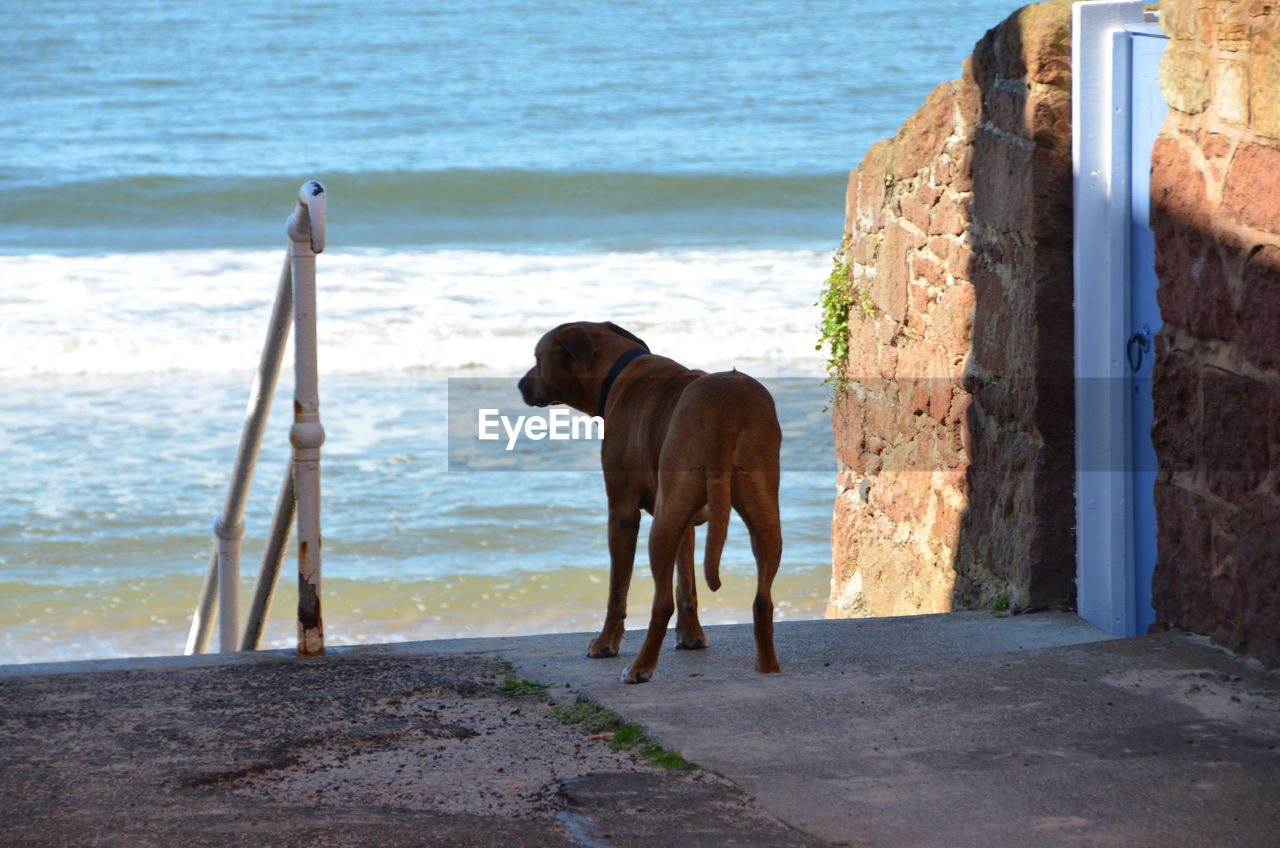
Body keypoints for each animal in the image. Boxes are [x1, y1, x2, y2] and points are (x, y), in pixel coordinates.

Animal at [517, 320, 778, 686]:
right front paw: (691, 636)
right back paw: (769, 667)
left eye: (537, 359)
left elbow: (618, 590)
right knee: (763, 599)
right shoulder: (684, 514)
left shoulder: (622, 512)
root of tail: (721, 410)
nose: (520, 385)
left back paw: (640, 668)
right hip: (760, 508)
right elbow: (686, 585)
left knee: (661, 603)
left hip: (662, 524)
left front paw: (606, 643)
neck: (618, 367)